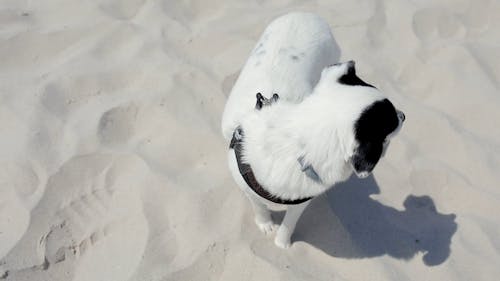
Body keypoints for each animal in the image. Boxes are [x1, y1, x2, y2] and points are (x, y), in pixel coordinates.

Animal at [221, 12, 404, 247]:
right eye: (392, 120)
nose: (404, 115)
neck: (292, 140)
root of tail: (306, 14)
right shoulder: (246, 184)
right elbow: (258, 205)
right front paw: (265, 224)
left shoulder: (300, 200)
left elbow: (289, 223)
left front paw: (282, 244)